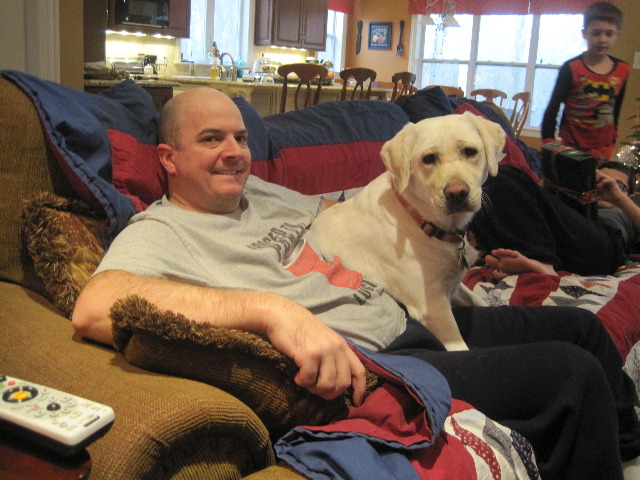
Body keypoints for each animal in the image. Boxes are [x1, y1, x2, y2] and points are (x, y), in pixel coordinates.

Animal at [308, 112, 506, 351]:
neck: (421, 220)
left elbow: (481, 301)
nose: (457, 192)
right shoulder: (433, 308)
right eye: (429, 158)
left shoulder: (455, 287)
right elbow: (460, 347)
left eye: (469, 151)